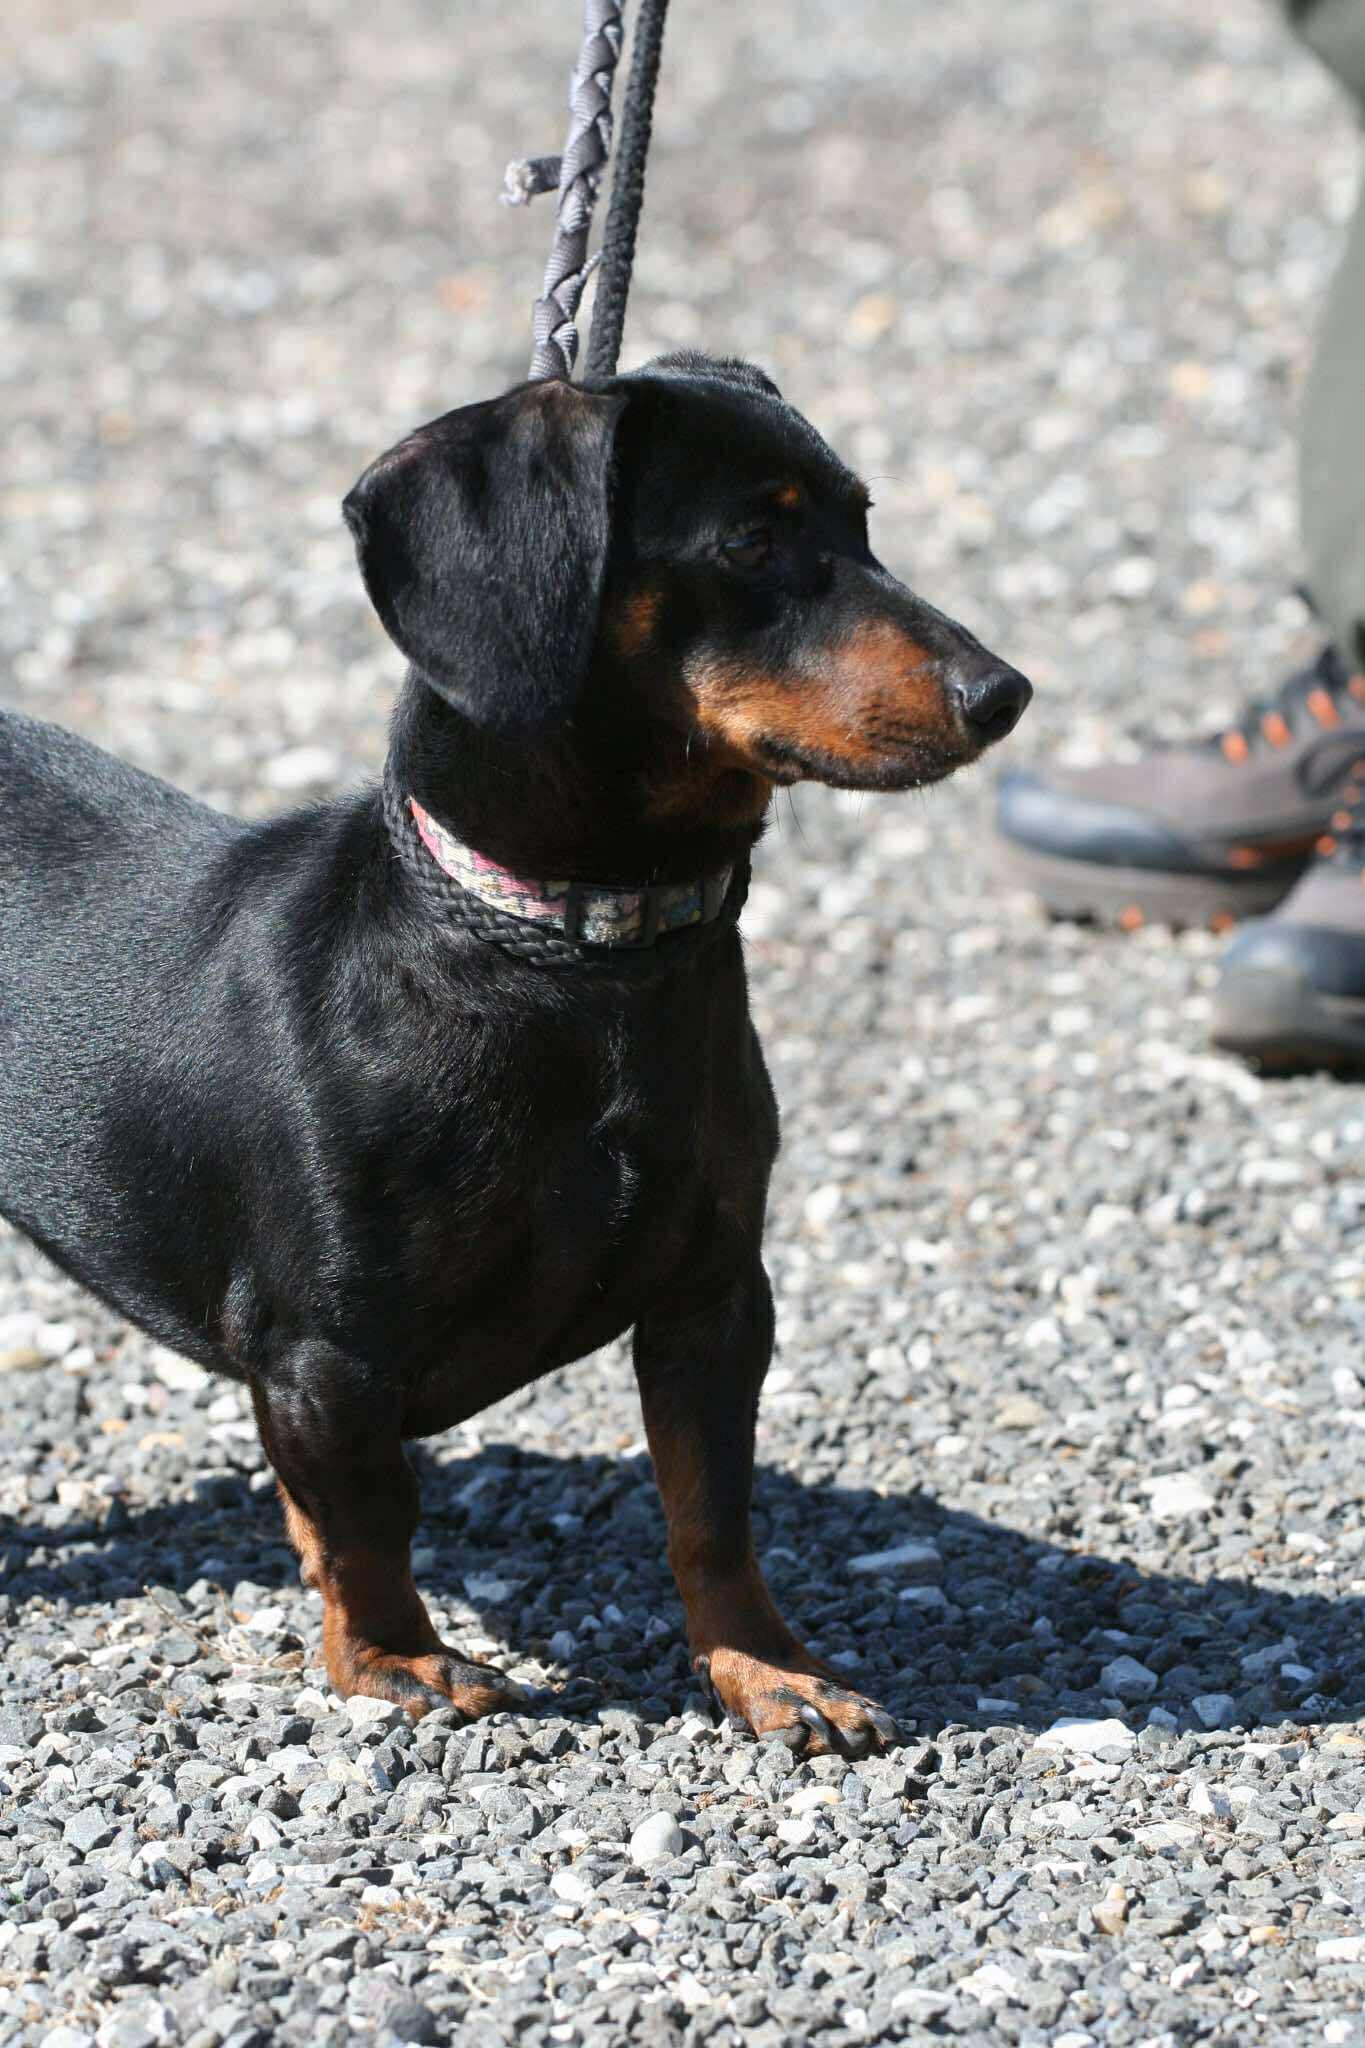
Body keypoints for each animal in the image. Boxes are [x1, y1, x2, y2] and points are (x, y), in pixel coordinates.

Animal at [0, 352, 1029, 1756]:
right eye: (752, 540)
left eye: (863, 524)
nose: (1005, 693)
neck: (570, 962)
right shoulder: (327, 1350)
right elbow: (371, 1519)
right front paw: (396, 1655)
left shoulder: (716, 1296)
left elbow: (713, 1513)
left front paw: (766, 1667)